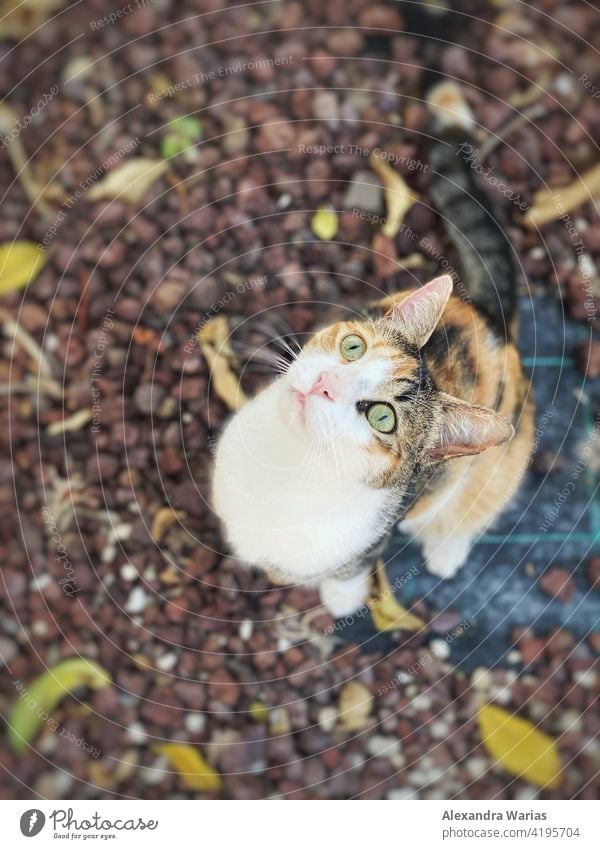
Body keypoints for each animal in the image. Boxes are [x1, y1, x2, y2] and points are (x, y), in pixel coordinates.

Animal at [211, 83, 536, 620]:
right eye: (352, 347)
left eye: (381, 417)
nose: (325, 383)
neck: (286, 465)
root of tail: (488, 316)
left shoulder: (359, 543)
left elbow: (345, 570)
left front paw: (341, 598)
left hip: (508, 450)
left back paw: (446, 547)